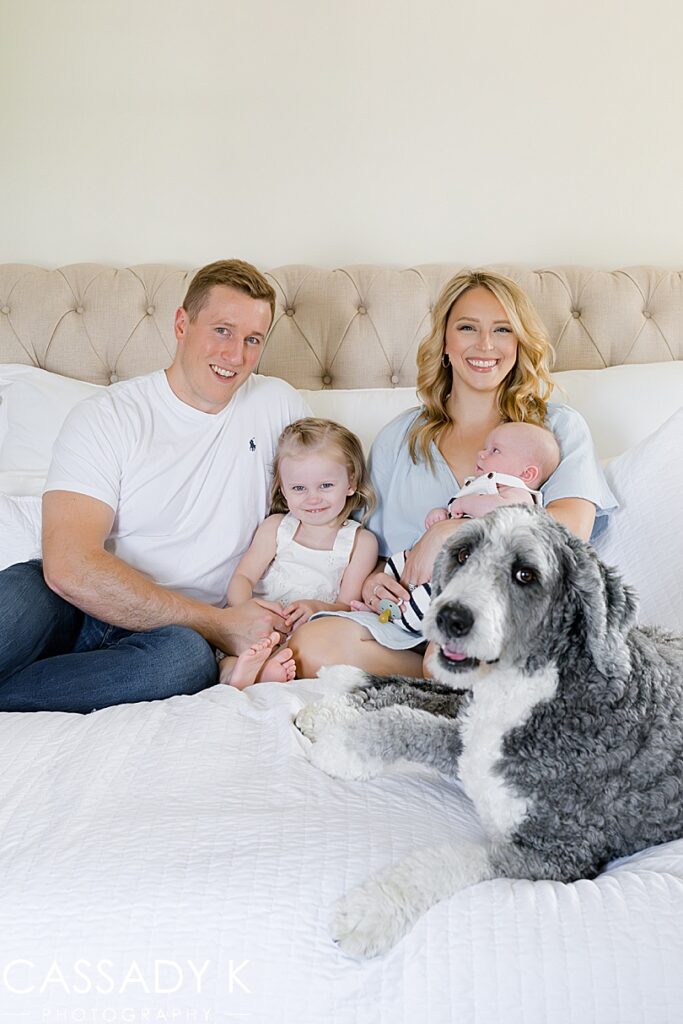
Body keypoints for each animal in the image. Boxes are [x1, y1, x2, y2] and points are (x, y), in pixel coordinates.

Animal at [296, 507, 683, 962]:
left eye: (525, 574)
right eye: (463, 554)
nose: (450, 616)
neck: (525, 691)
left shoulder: (559, 855)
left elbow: (452, 857)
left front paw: (370, 910)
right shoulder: (474, 743)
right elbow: (406, 723)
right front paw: (341, 746)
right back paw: (334, 697)